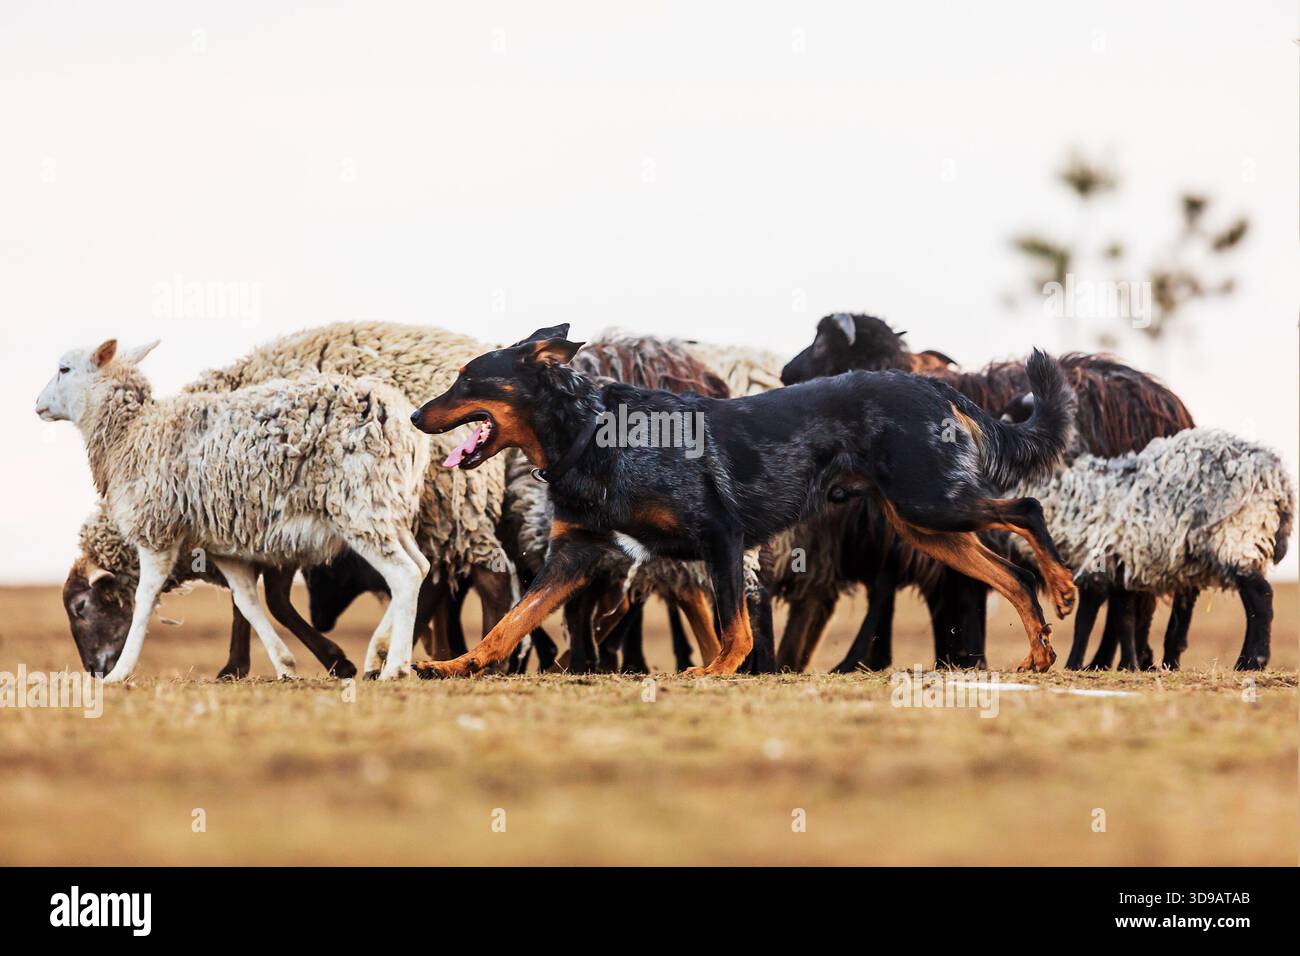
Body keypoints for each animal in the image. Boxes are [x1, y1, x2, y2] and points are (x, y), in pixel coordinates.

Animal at [62, 321, 516, 680]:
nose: (93, 670)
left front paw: (325, 661)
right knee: (433, 576)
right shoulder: (245, 530)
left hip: (434, 506)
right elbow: (248, 602)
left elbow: (271, 603)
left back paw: (474, 662)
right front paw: (245, 665)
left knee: (478, 576)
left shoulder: (264, 528)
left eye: (81, 607)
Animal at [1008, 428, 1294, 670]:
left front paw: (1074, 664)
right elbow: (1124, 618)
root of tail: (1278, 481)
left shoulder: (1096, 564)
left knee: (1261, 597)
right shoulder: (1121, 568)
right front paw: (1127, 665)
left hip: (1237, 536)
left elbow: (1085, 621)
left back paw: (1251, 661)